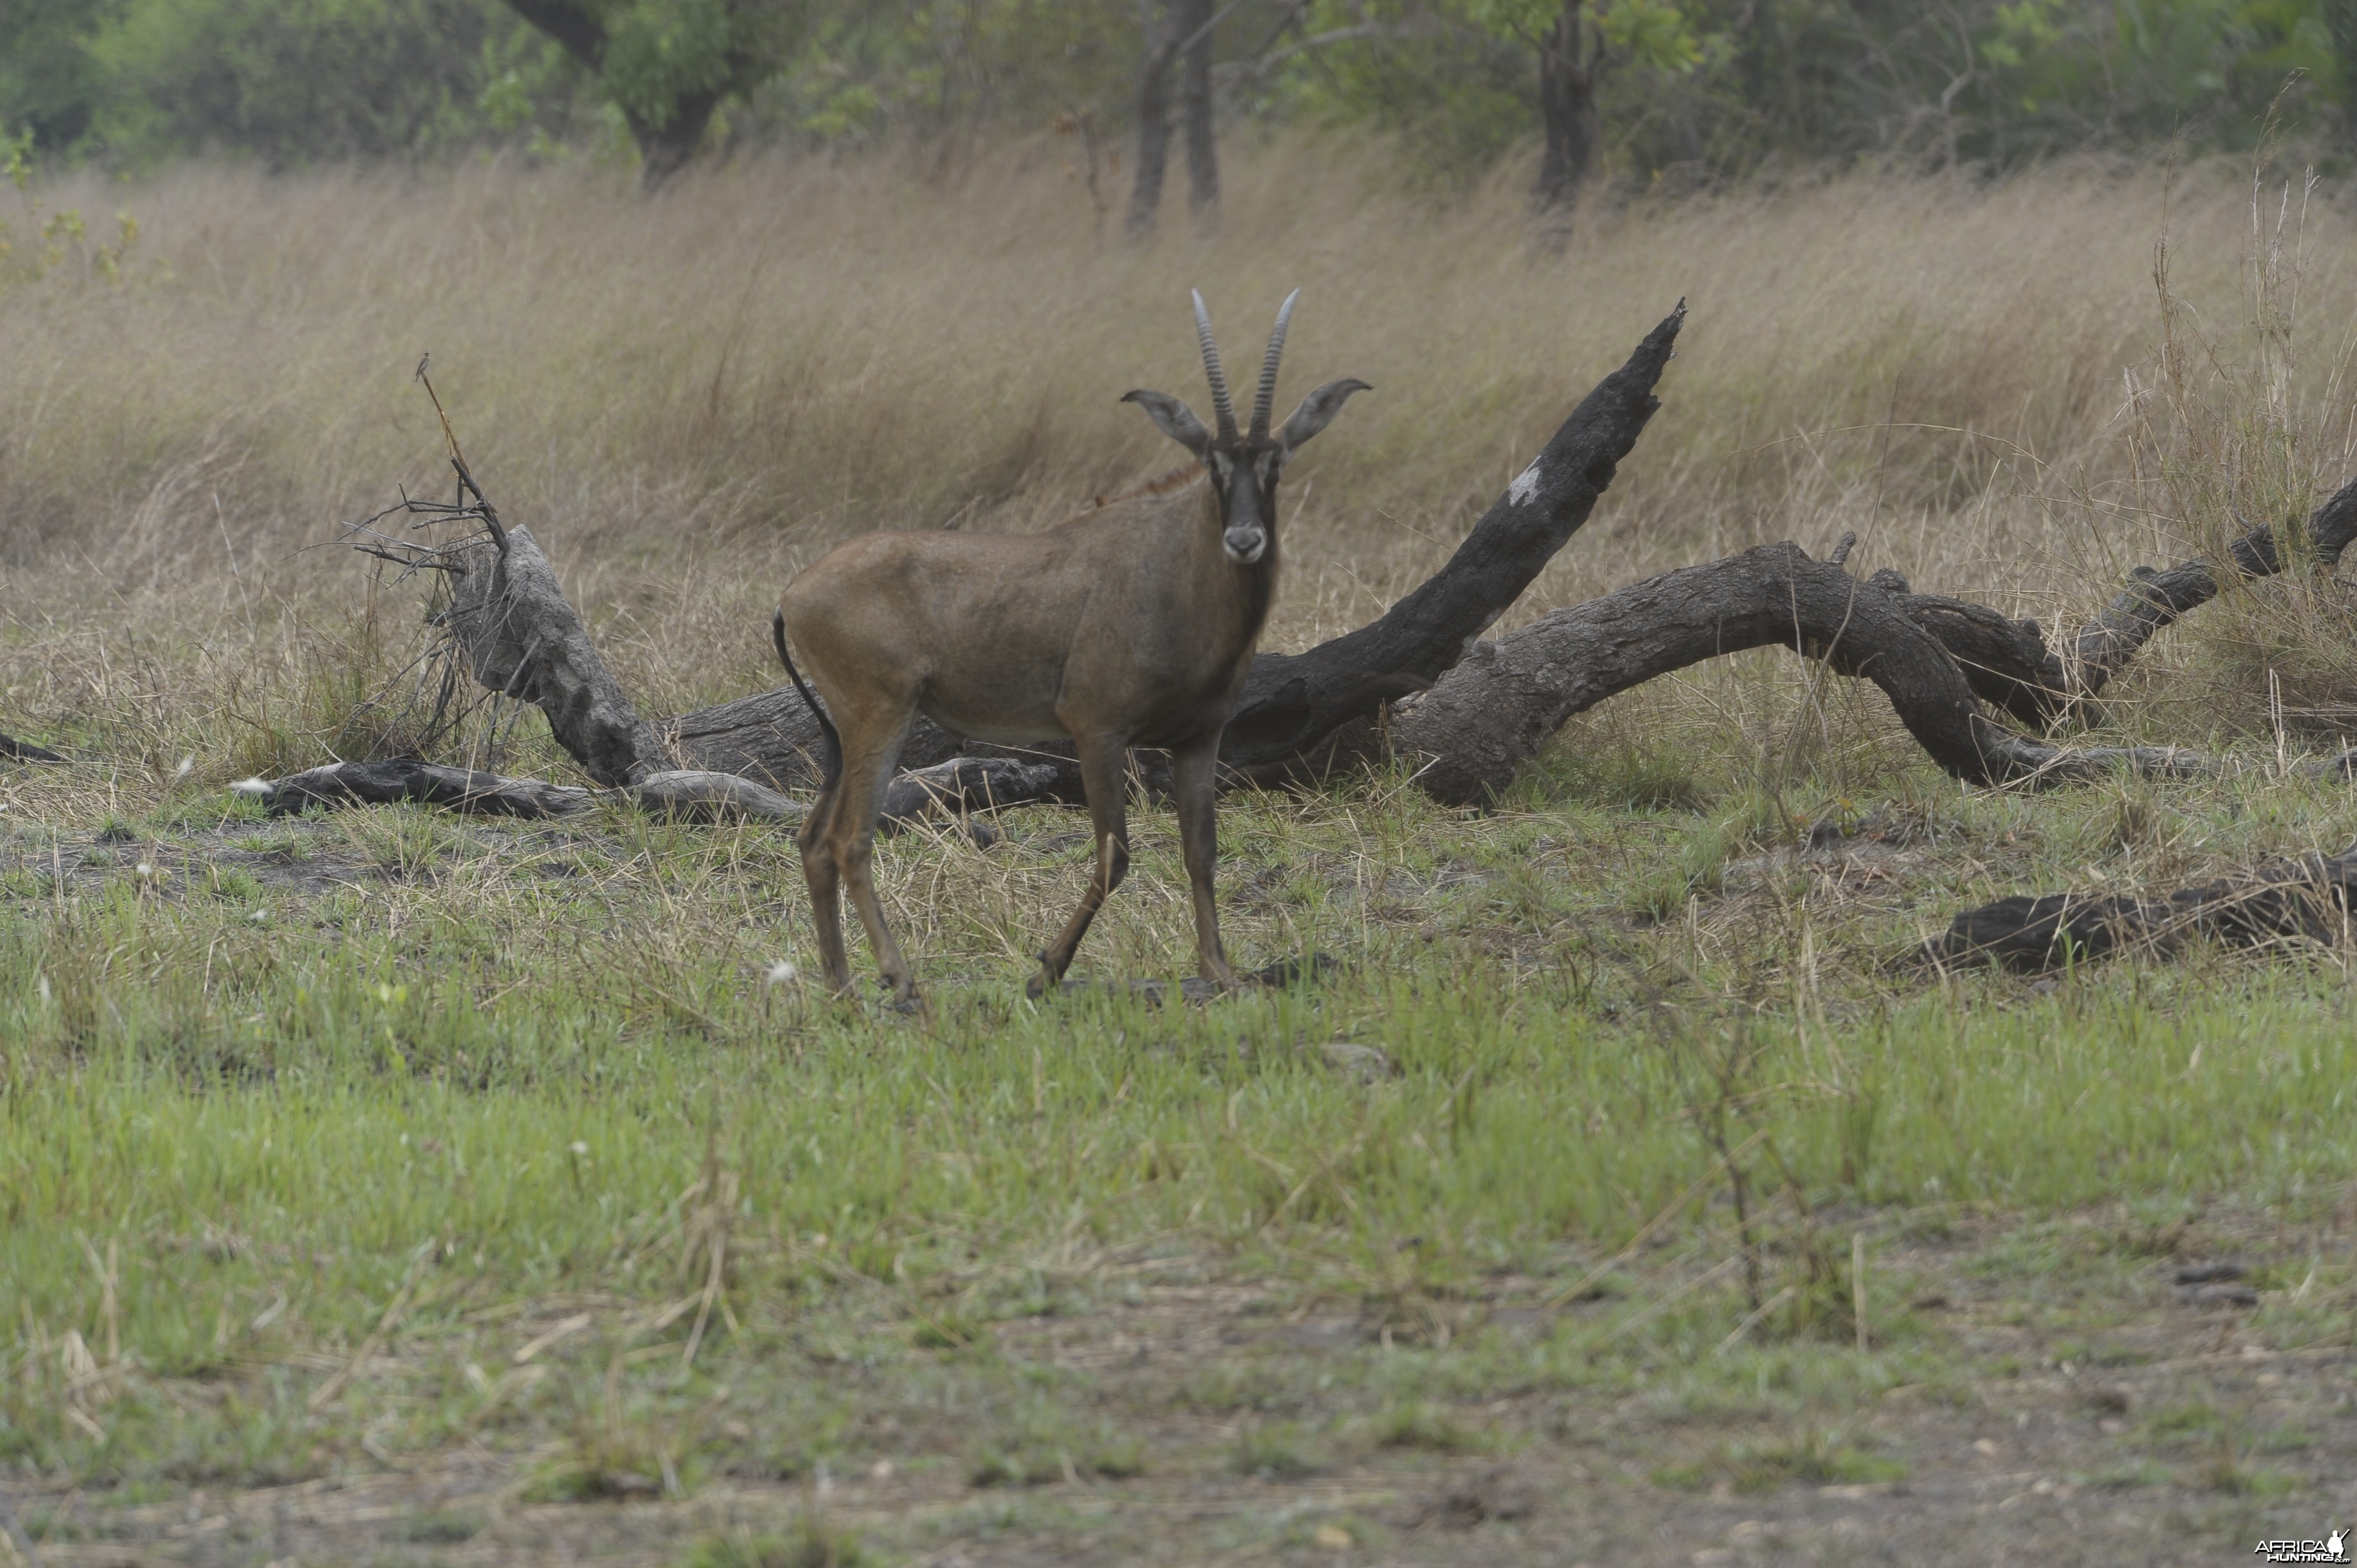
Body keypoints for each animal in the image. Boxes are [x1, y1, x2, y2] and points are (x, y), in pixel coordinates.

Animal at [768, 290, 1367, 1004]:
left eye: (1276, 463)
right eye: (1213, 463)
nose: (1245, 540)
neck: (1171, 563)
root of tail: (793, 594)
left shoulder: (1199, 740)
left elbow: (1201, 850)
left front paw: (1219, 970)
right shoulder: (1096, 730)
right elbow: (1115, 855)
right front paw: (1045, 969)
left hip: (845, 731)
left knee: (812, 840)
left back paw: (841, 986)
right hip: (879, 717)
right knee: (848, 839)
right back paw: (900, 979)